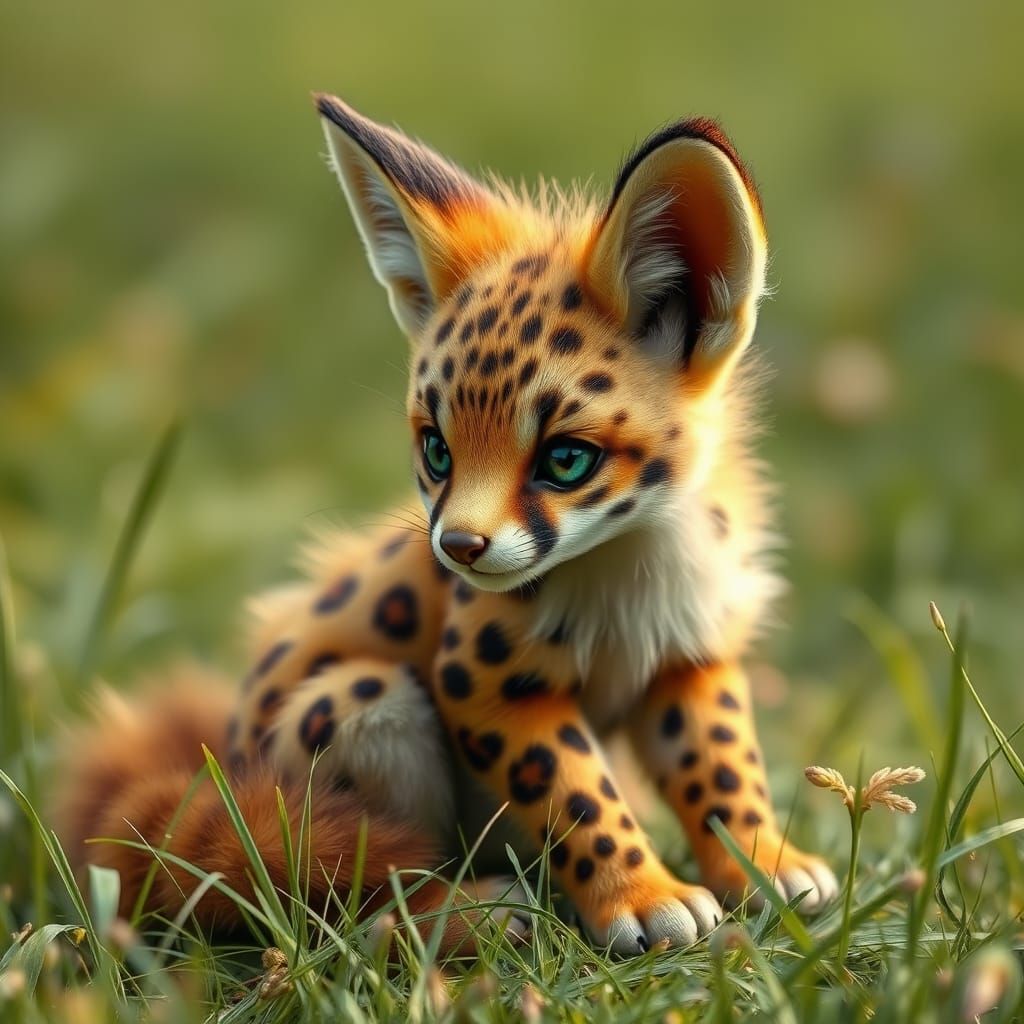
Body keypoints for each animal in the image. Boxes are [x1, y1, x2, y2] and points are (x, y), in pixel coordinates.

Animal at [57, 93, 839, 957]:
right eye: (437, 449)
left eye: (566, 459)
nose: (458, 548)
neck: (630, 578)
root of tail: (217, 772)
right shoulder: (489, 684)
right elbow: (580, 797)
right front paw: (642, 898)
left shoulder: (689, 659)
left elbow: (724, 774)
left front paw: (766, 865)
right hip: (361, 707)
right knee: (343, 904)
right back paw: (475, 912)